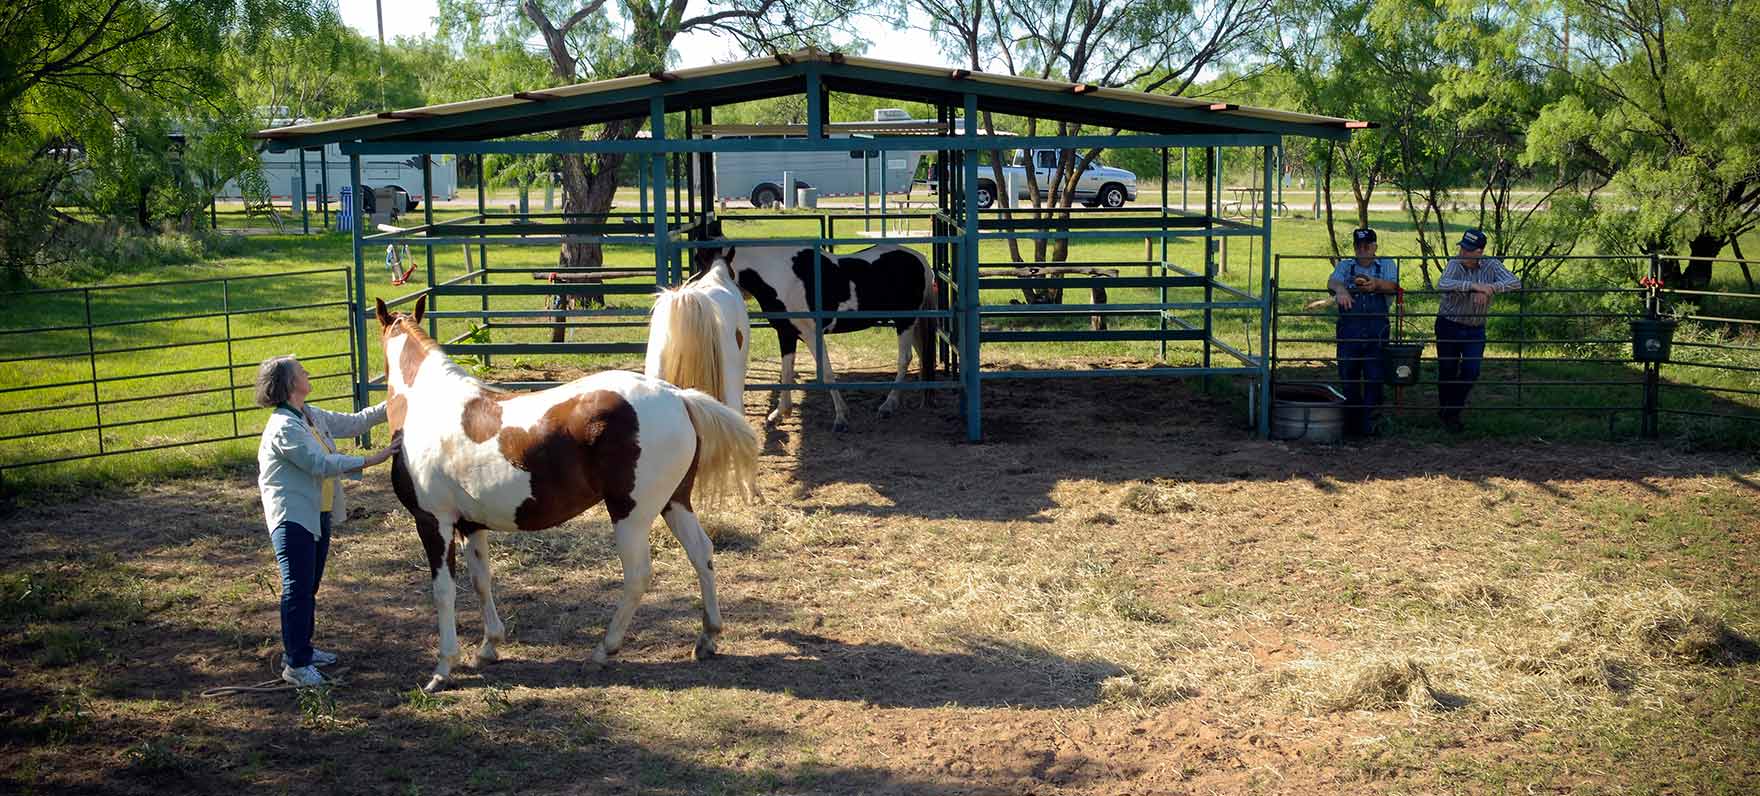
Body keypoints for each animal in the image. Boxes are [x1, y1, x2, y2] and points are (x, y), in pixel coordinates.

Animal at [374, 295, 760, 693]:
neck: (430, 405)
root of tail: (679, 396)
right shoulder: (471, 525)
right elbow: (481, 581)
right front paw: (489, 647)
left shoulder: (433, 522)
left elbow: (444, 592)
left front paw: (442, 668)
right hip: (675, 502)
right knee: (702, 553)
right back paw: (708, 637)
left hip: (631, 514)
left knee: (638, 575)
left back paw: (605, 648)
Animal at [689, 221, 936, 431]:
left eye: (700, 259)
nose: (691, 285)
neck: (780, 275)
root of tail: (920, 259)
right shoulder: (787, 334)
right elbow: (786, 373)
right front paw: (779, 413)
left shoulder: (810, 333)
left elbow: (826, 371)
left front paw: (841, 418)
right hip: (911, 323)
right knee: (920, 355)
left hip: (905, 322)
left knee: (904, 359)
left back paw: (888, 404)